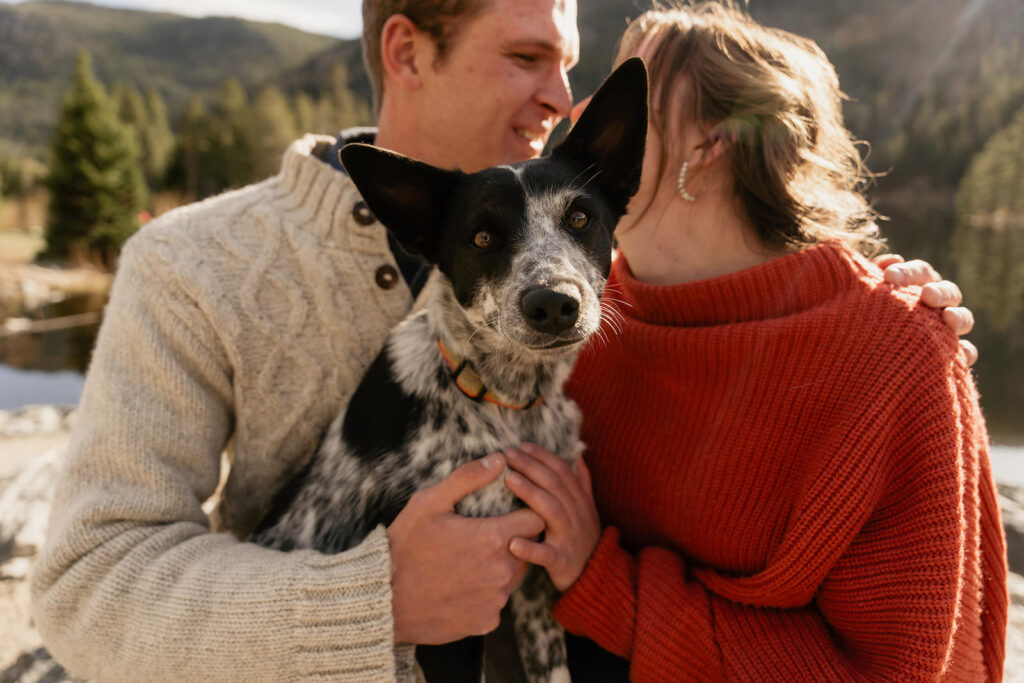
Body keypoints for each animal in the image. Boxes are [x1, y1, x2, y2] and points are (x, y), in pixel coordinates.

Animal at [249, 58, 647, 683]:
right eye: (481, 237)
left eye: (580, 217)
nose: (553, 303)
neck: (506, 400)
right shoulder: (455, 610)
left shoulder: (537, 574)